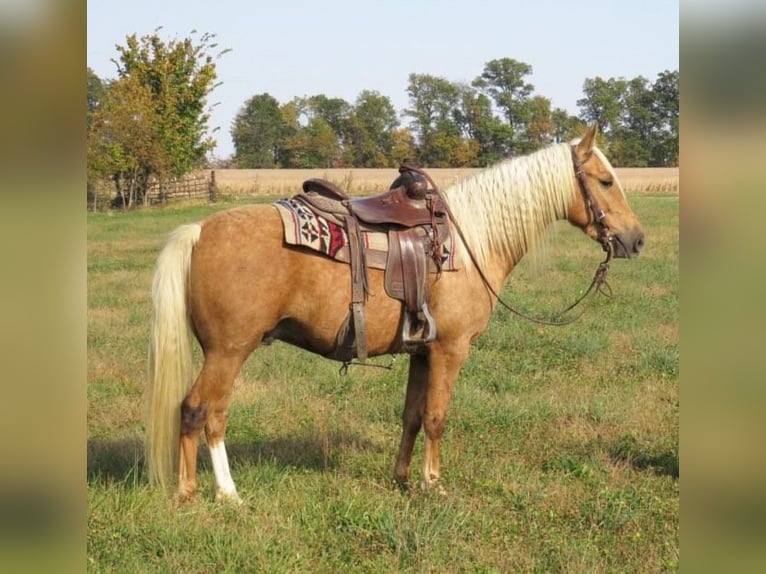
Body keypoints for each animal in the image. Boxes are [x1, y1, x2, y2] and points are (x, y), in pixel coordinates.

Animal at [147, 126, 644, 504]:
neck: (471, 243)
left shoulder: (422, 352)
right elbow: (437, 417)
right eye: (604, 181)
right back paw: (215, 493)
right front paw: (433, 485)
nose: (635, 239)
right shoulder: (450, 350)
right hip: (229, 352)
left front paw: (402, 478)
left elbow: (412, 416)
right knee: (201, 411)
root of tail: (199, 231)